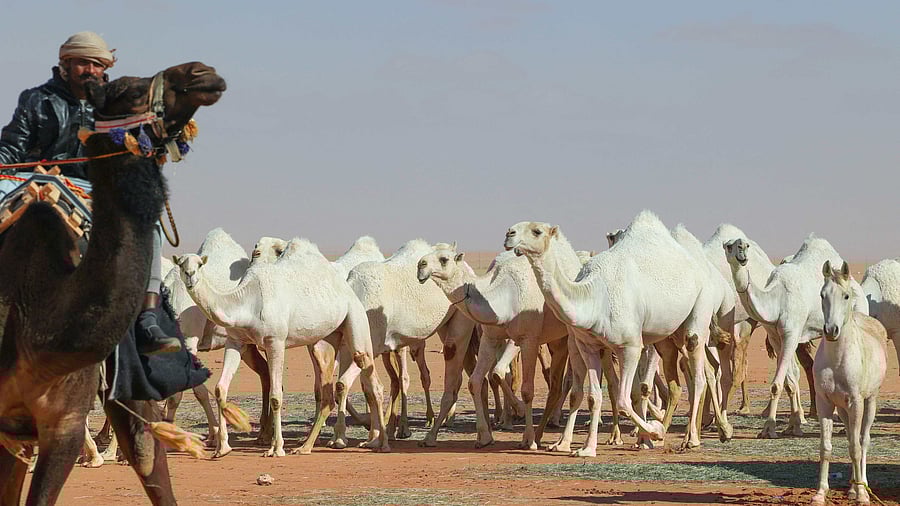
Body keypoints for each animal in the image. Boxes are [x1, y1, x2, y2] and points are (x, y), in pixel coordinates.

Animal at [175, 236, 388, 457]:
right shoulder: (235, 341)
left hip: (355, 317)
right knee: (327, 391)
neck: (246, 302)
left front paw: (276, 449)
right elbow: (220, 389)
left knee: (370, 374)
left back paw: (380, 443)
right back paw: (305, 446)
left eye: (199, 264)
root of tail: (344, 286)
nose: (190, 275)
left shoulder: (275, 341)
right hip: (324, 340)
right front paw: (222, 447)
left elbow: (276, 396)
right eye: (180, 264)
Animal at [417, 245, 576, 450]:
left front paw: (526, 435)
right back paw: (544, 433)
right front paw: (484, 437)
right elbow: (476, 381)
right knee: (558, 383)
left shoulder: (527, 339)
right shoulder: (490, 337)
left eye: (444, 259)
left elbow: (526, 390)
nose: (420, 265)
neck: (503, 296)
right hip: (559, 340)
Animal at [506, 211, 727, 455]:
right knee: (684, 375)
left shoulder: (630, 347)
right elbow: (593, 397)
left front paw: (655, 431)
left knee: (698, 372)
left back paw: (691, 439)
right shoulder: (589, 346)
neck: (593, 297)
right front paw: (587, 449)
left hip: (700, 308)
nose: (509, 234)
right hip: (669, 334)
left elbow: (623, 399)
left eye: (537, 231)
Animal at [724, 234, 867, 439]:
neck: (776, 299)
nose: (741, 250)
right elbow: (790, 382)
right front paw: (794, 425)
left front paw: (769, 429)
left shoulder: (791, 334)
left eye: (747, 245)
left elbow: (776, 385)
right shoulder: (775, 337)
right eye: (729, 246)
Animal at [812, 261, 887, 505]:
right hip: (843, 409)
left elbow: (856, 448)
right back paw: (853, 488)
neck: (837, 359)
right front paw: (820, 493)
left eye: (845, 296)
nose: (831, 331)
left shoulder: (856, 402)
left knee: (863, 441)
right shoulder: (824, 403)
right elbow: (826, 448)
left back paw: (861, 487)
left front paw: (862, 495)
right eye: (822, 294)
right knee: (850, 437)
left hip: (869, 403)